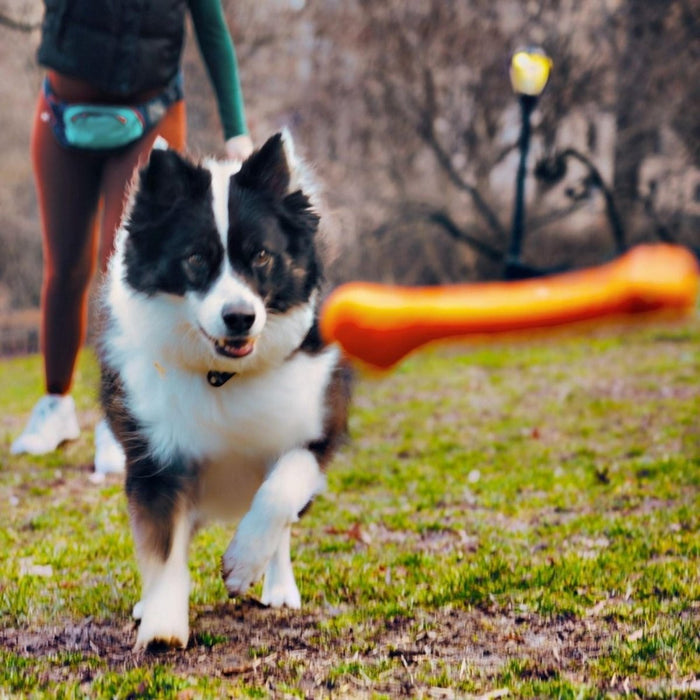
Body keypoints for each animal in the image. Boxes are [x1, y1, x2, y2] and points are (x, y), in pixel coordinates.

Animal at [98, 133, 350, 652]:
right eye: (196, 258)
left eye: (261, 256)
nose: (240, 318)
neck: (224, 373)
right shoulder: (155, 457)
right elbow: (164, 549)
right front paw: (162, 624)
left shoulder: (318, 426)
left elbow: (279, 492)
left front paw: (243, 563)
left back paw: (277, 586)